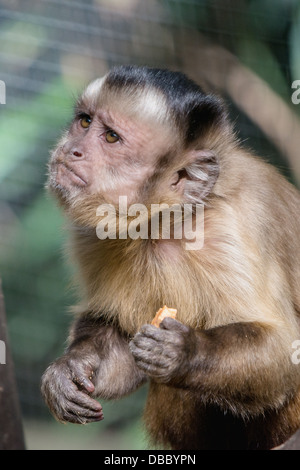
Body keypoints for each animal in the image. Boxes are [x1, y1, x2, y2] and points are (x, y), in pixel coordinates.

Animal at [41, 64, 300, 450]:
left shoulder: (229, 230)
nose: (72, 150)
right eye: (84, 122)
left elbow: (284, 349)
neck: (167, 221)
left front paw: (183, 352)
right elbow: (117, 332)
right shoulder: (93, 235)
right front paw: (70, 367)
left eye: (111, 138)